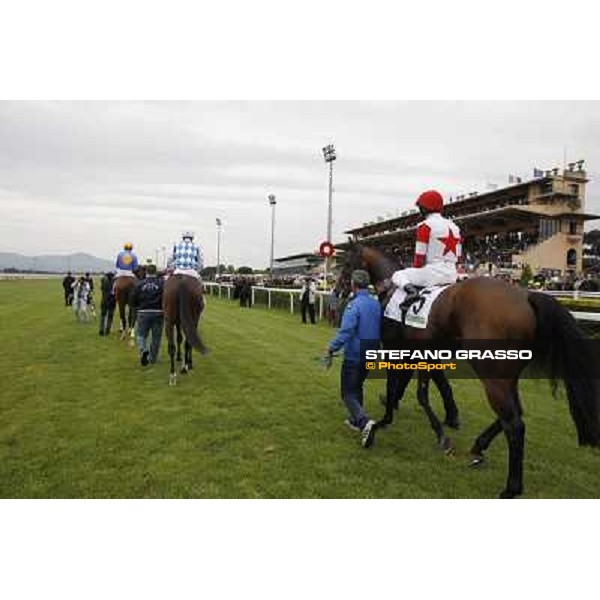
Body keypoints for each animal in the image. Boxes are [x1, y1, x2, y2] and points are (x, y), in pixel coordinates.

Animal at [342, 241, 600, 500]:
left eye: (345, 263)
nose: (341, 288)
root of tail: (527, 295)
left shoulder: (396, 349)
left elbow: (406, 388)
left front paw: (389, 420)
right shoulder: (422, 353)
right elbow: (423, 388)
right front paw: (438, 417)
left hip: (491, 374)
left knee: (514, 423)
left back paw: (511, 487)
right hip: (508, 375)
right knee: (514, 411)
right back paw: (478, 447)